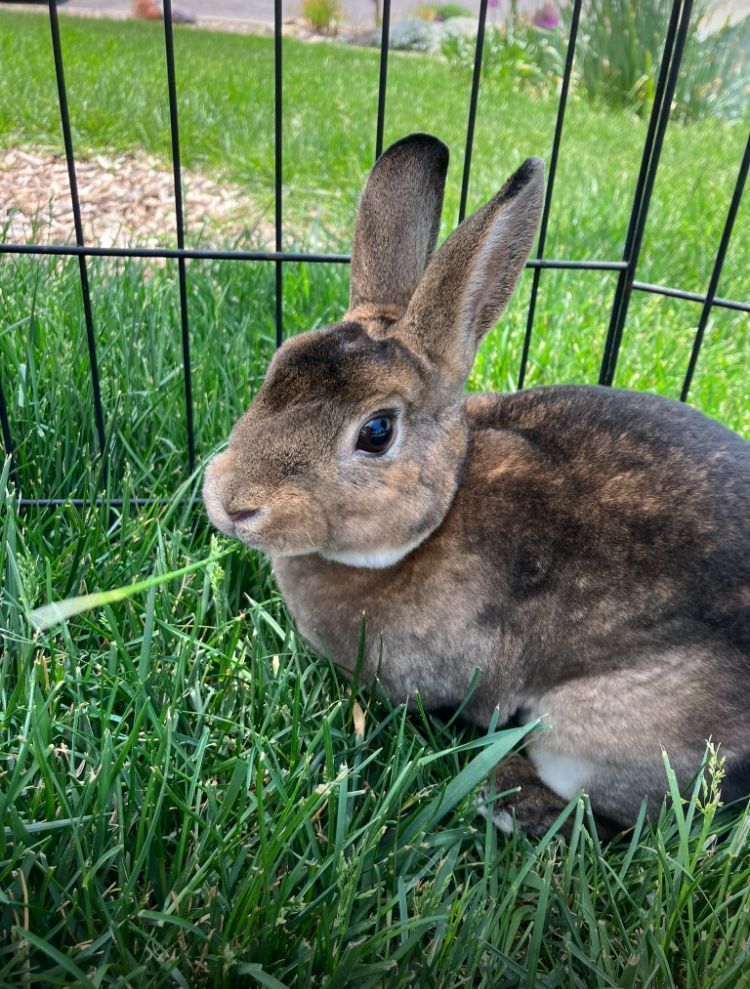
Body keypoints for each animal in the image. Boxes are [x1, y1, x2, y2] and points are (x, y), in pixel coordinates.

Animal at [203, 133, 750, 837]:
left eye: (376, 431)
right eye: (280, 362)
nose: (230, 503)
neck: (443, 506)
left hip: (595, 729)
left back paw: (506, 796)